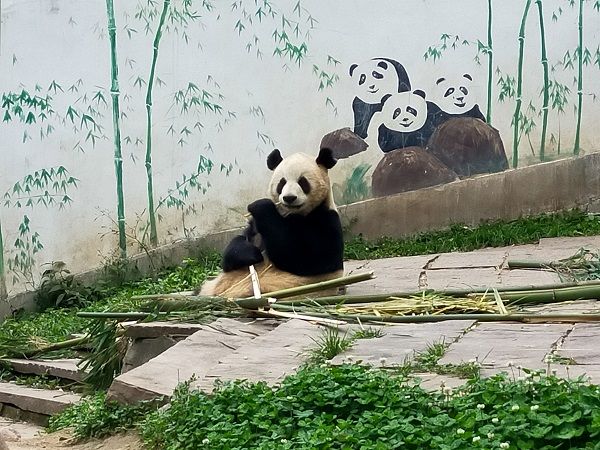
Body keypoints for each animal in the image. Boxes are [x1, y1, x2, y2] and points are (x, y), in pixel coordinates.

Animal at [200, 148, 344, 298]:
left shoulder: (325, 218)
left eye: (302, 182)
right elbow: (236, 247)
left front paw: (261, 206)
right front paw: (250, 254)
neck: (290, 214)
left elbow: (310, 258)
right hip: (210, 286)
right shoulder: (255, 226)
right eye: (282, 182)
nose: (289, 198)